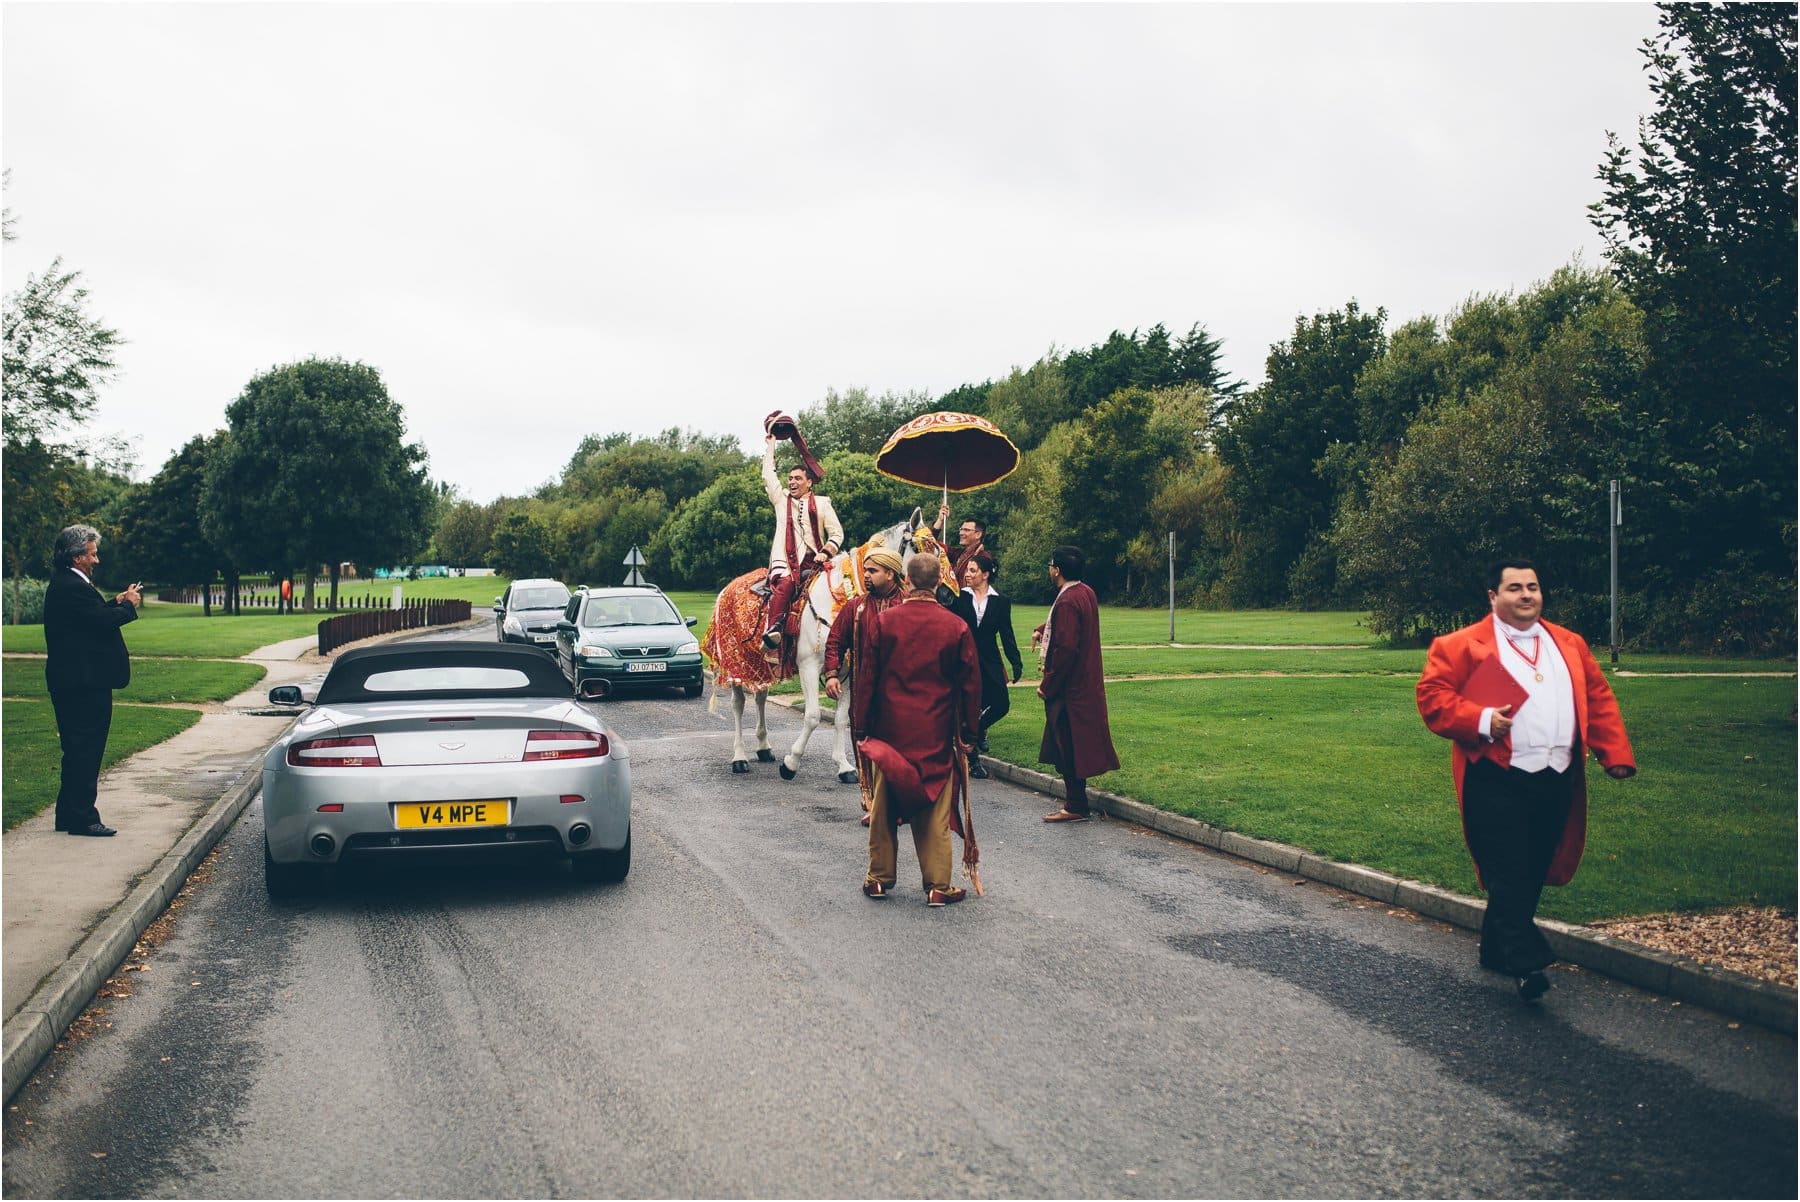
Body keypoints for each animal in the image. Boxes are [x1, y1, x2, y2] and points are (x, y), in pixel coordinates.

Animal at [709, 514, 921, 780]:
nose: (945, 594)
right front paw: (791, 763)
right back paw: (739, 757)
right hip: (737, 664)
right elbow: (812, 716)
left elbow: (841, 718)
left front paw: (844, 766)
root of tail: (727, 588)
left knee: (760, 698)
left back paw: (764, 746)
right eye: (919, 548)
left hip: (761, 666)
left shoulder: (845, 672)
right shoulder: (809, 667)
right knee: (738, 705)